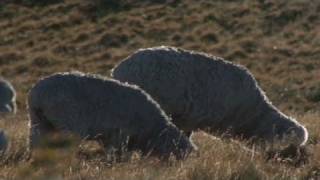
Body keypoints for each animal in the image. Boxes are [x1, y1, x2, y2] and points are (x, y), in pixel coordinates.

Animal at [27, 71, 196, 160]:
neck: (153, 129)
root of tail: (38, 93)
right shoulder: (120, 135)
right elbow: (119, 156)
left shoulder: (110, 137)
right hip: (68, 124)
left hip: (38, 121)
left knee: (35, 144)